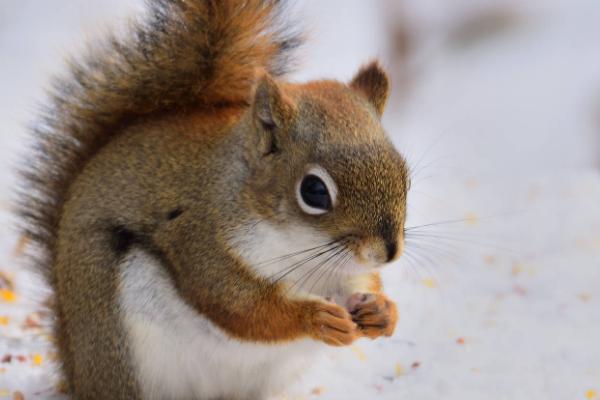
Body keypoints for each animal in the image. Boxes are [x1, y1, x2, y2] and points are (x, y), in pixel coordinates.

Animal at [21, 0, 410, 400]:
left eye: (405, 174)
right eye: (314, 191)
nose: (388, 252)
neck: (299, 245)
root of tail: (75, 370)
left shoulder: (346, 273)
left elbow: (363, 283)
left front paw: (383, 312)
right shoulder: (199, 240)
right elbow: (242, 307)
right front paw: (315, 318)